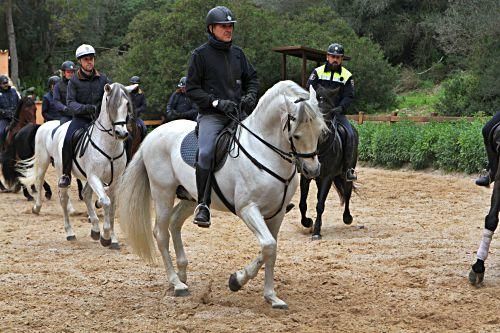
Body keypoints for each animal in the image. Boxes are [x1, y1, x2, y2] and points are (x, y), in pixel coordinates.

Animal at [19, 82, 133, 248]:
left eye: (126, 104)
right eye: (110, 105)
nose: (121, 133)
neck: (108, 145)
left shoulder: (115, 180)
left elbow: (111, 206)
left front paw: (112, 239)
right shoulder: (94, 177)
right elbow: (106, 202)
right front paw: (105, 237)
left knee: (85, 194)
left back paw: (94, 229)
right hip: (49, 165)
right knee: (54, 192)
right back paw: (66, 229)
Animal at [118, 80, 326, 308]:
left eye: (319, 132)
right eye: (296, 135)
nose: (312, 170)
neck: (264, 152)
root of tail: (152, 136)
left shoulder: (277, 214)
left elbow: (270, 249)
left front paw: (271, 296)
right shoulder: (248, 209)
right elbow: (269, 246)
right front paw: (237, 280)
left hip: (192, 198)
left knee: (175, 222)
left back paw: (182, 274)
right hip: (163, 192)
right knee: (161, 233)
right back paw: (177, 284)